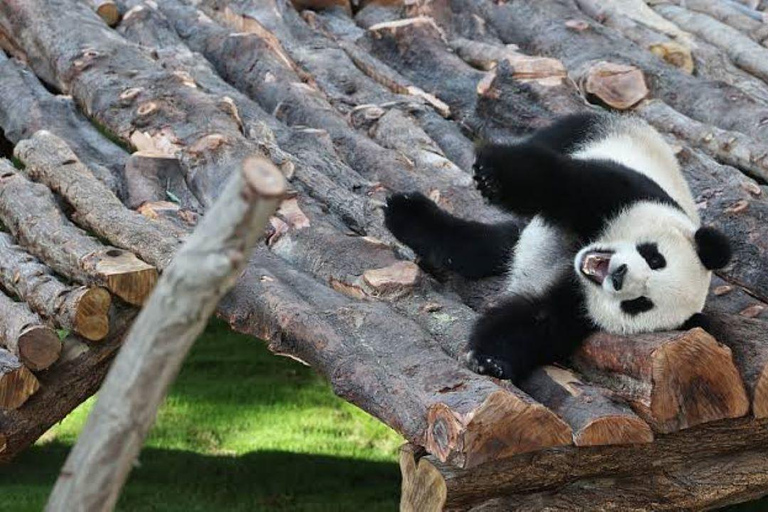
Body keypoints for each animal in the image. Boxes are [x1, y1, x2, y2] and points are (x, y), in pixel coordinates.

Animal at [384, 111, 732, 383]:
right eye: (655, 257)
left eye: (640, 304)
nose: (619, 275)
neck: (577, 256)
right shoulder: (625, 195)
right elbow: (561, 185)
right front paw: (494, 176)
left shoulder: (580, 312)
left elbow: (536, 322)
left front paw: (489, 360)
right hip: (597, 129)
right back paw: (408, 211)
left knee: (493, 244)